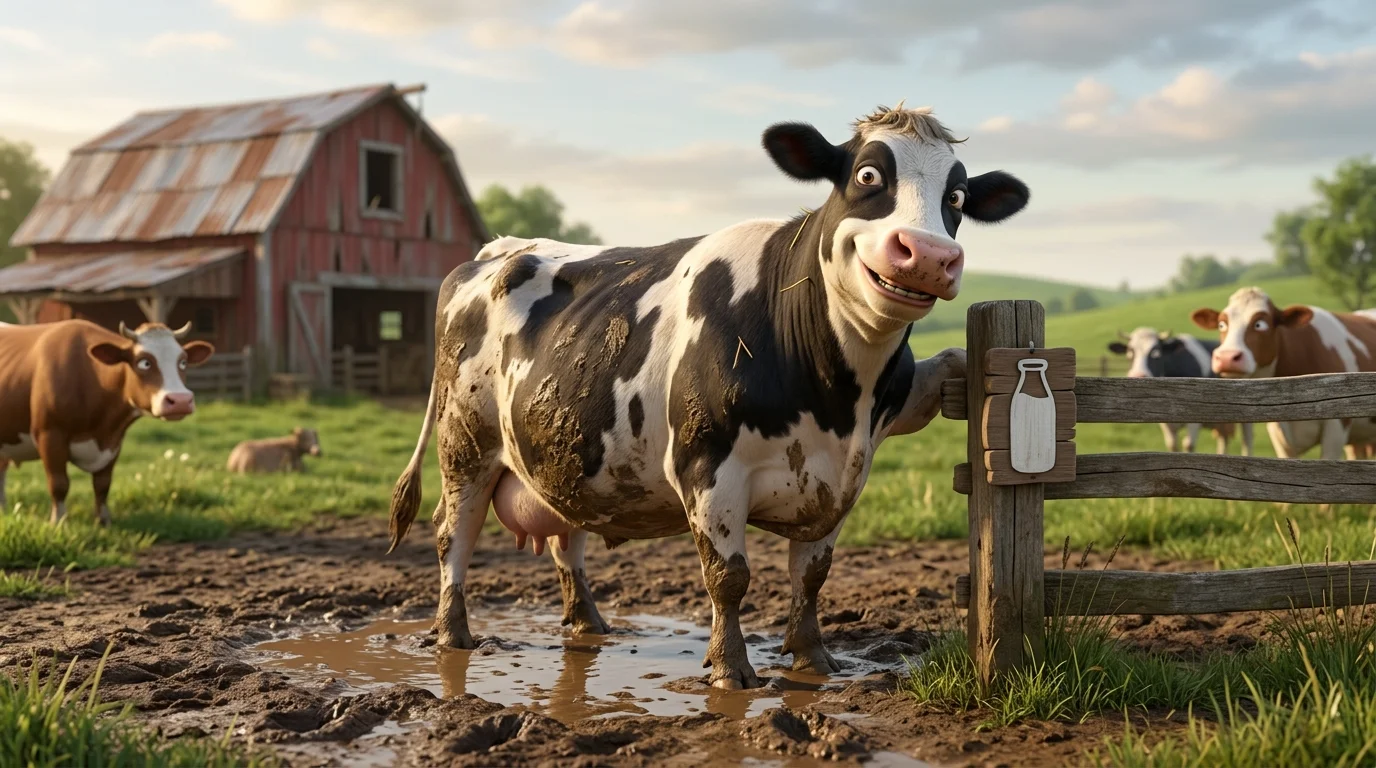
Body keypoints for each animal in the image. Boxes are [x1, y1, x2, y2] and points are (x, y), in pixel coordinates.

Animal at [0, 320, 214, 524]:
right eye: (144, 362)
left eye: (183, 362)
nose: (180, 400)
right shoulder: (49, 434)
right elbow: (59, 484)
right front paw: (59, 521)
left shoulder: (114, 440)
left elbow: (102, 485)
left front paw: (103, 521)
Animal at [387, 104, 1029, 689]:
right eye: (868, 175)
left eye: (957, 197)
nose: (927, 255)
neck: (836, 396)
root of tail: (498, 250)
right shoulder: (707, 468)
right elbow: (730, 577)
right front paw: (730, 668)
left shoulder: (843, 475)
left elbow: (812, 574)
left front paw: (813, 658)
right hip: (465, 444)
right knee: (452, 536)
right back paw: (453, 634)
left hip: (564, 449)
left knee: (566, 538)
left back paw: (589, 623)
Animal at [1106, 327, 1253, 455]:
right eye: (1130, 354)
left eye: (1156, 353)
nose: (1138, 376)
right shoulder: (1165, 423)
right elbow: (1172, 445)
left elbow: (1188, 444)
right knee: (1224, 439)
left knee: (1246, 440)